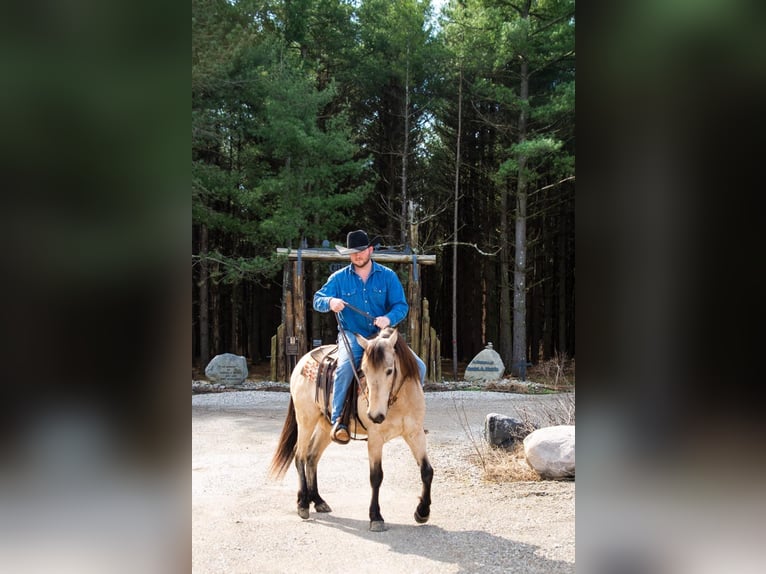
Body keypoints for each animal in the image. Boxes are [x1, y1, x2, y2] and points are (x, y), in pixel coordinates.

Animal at [270, 330, 432, 532]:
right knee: (299, 455)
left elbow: (426, 471)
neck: (399, 401)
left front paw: (422, 512)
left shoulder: (415, 434)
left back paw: (318, 501)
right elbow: (376, 476)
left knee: (311, 456)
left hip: (325, 427)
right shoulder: (375, 439)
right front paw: (376, 517)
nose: (375, 415)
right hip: (305, 420)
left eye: (389, 370)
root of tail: (303, 360)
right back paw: (303, 504)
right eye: (364, 370)